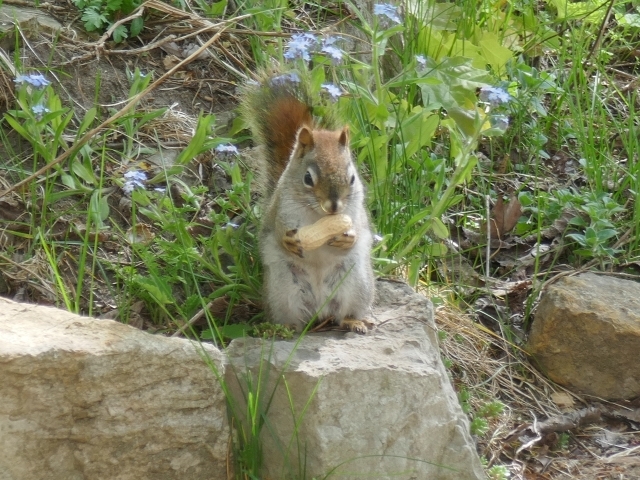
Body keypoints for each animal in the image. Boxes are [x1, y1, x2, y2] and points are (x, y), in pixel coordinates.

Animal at [242, 71, 378, 334]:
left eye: (352, 178)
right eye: (307, 178)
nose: (334, 206)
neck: (320, 217)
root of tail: (320, 310)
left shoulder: (356, 212)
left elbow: (359, 229)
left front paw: (349, 238)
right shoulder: (281, 210)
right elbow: (278, 230)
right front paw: (288, 240)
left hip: (357, 285)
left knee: (344, 315)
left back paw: (354, 321)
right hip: (282, 291)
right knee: (292, 318)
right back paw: (285, 329)